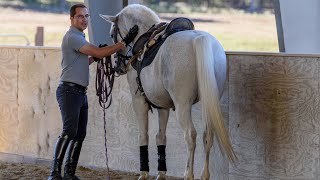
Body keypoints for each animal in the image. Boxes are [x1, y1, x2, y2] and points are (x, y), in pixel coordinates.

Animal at [100, 4, 235, 180]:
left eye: (111, 34)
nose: (118, 67)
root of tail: (199, 39)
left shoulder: (138, 100)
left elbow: (144, 135)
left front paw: (144, 173)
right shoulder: (162, 105)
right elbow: (160, 136)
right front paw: (161, 173)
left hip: (183, 105)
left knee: (190, 135)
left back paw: (188, 174)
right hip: (208, 103)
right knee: (207, 135)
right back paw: (204, 174)